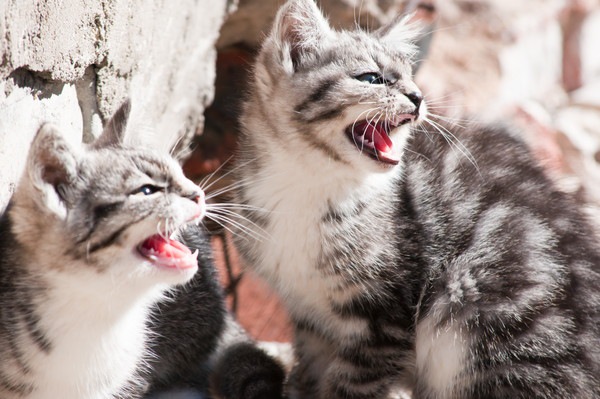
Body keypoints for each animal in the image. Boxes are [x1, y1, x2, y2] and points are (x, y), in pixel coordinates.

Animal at [233, 0, 600, 399]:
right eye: (371, 78)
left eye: (412, 78)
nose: (418, 97)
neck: (309, 182)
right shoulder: (309, 316)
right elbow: (309, 374)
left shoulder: (385, 314)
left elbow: (351, 384)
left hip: (485, 316)